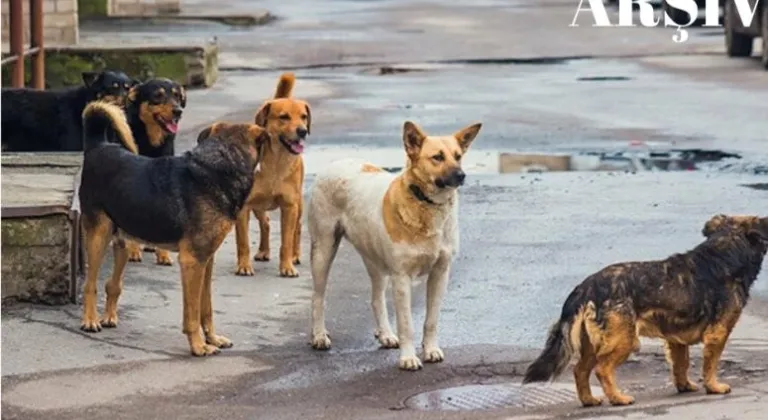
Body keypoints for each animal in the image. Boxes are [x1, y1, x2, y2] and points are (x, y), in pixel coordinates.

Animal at [76, 100, 268, 356]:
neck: (220, 165)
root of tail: (98, 146)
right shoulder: (192, 261)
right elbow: (192, 314)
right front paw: (198, 346)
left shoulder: (206, 260)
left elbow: (206, 308)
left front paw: (213, 338)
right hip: (98, 236)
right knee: (90, 285)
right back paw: (90, 320)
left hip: (123, 241)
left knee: (112, 284)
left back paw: (109, 317)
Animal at [306, 120, 480, 370]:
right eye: (437, 157)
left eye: (458, 156)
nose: (461, 175)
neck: (425, 204)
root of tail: (335, 163)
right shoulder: (402, 278)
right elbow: (406, 324)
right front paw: (408, 358)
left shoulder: (440, 273)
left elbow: (431, 320)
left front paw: (431, 349)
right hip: (323, 250)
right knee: (318, 297)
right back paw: (319, 335)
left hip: (375, 260)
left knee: (376, 299)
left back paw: (385, 334)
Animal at [520, 215, 768, 406]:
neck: (725, 251)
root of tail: (586, 286)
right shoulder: (718, 333)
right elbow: (710, 364)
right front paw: (713, 386)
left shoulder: (676, 339)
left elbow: (681, 364)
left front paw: (684, 386)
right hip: (624, 340)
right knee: (602, 369)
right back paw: (618, 398)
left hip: (592, 343)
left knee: (580, 370)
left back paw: (589, 400)